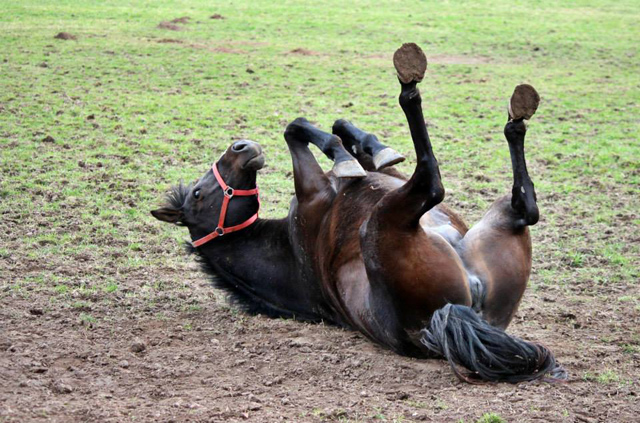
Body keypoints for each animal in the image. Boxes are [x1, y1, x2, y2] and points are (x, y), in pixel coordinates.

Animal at [151, 43, 564, 384]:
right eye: (200, 193)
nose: (239, 146)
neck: (292, 253)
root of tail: (448, 317)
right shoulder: (314, 190)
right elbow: (299, 130)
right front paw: (344, 156)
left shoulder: (370, 178)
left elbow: (342, 134)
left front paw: (374, 147)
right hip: (385, 219)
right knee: (437, 182)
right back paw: (413, 85)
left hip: (493, 220)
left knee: (522, 205)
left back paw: (516, 114)